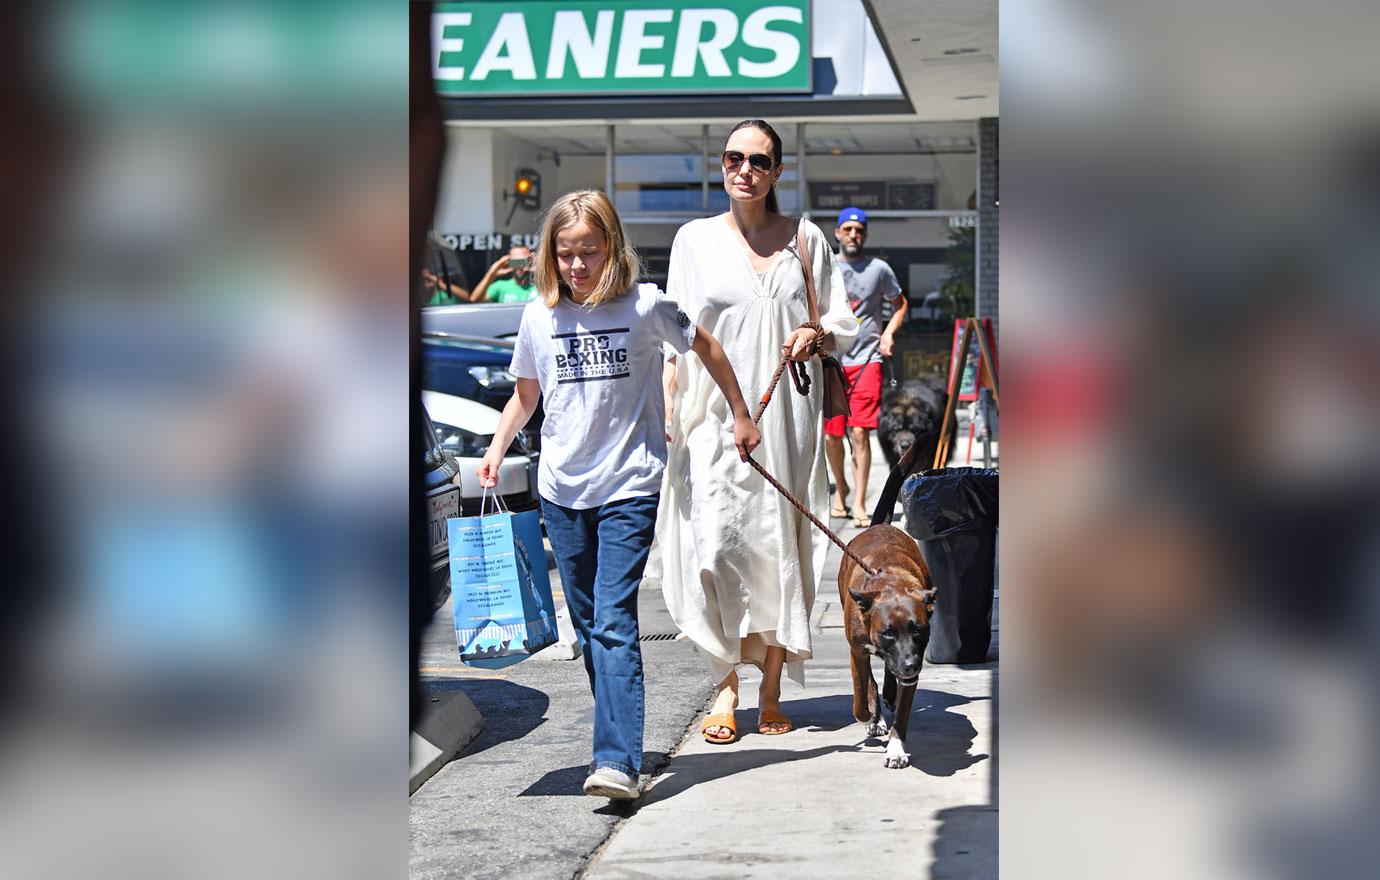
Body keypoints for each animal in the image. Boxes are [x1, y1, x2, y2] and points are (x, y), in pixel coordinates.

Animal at [833, 526, 932, 766]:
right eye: (887, 633)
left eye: (918, 630)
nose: (911, 665)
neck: (892, 585)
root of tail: (880, 526)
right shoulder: (857, 652)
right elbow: (860, 694)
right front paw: (870, 718)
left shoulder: (908, 672)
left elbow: (903, 714)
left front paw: (895, 750)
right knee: (870, 681)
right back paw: (876, 717)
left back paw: (889, 694)